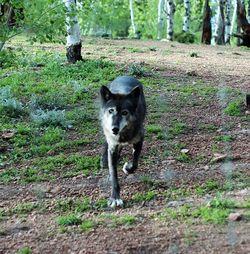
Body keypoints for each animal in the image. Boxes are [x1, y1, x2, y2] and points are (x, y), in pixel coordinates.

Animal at [99, 75, 146, 206]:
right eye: (111, 110)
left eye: (124, 112)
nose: (114, 128)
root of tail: (125, 76)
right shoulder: (113, 146)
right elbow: (114, 175)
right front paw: (115, 198)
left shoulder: (139, 139)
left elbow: (135, 163)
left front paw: (128, 168)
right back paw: (104, 161)